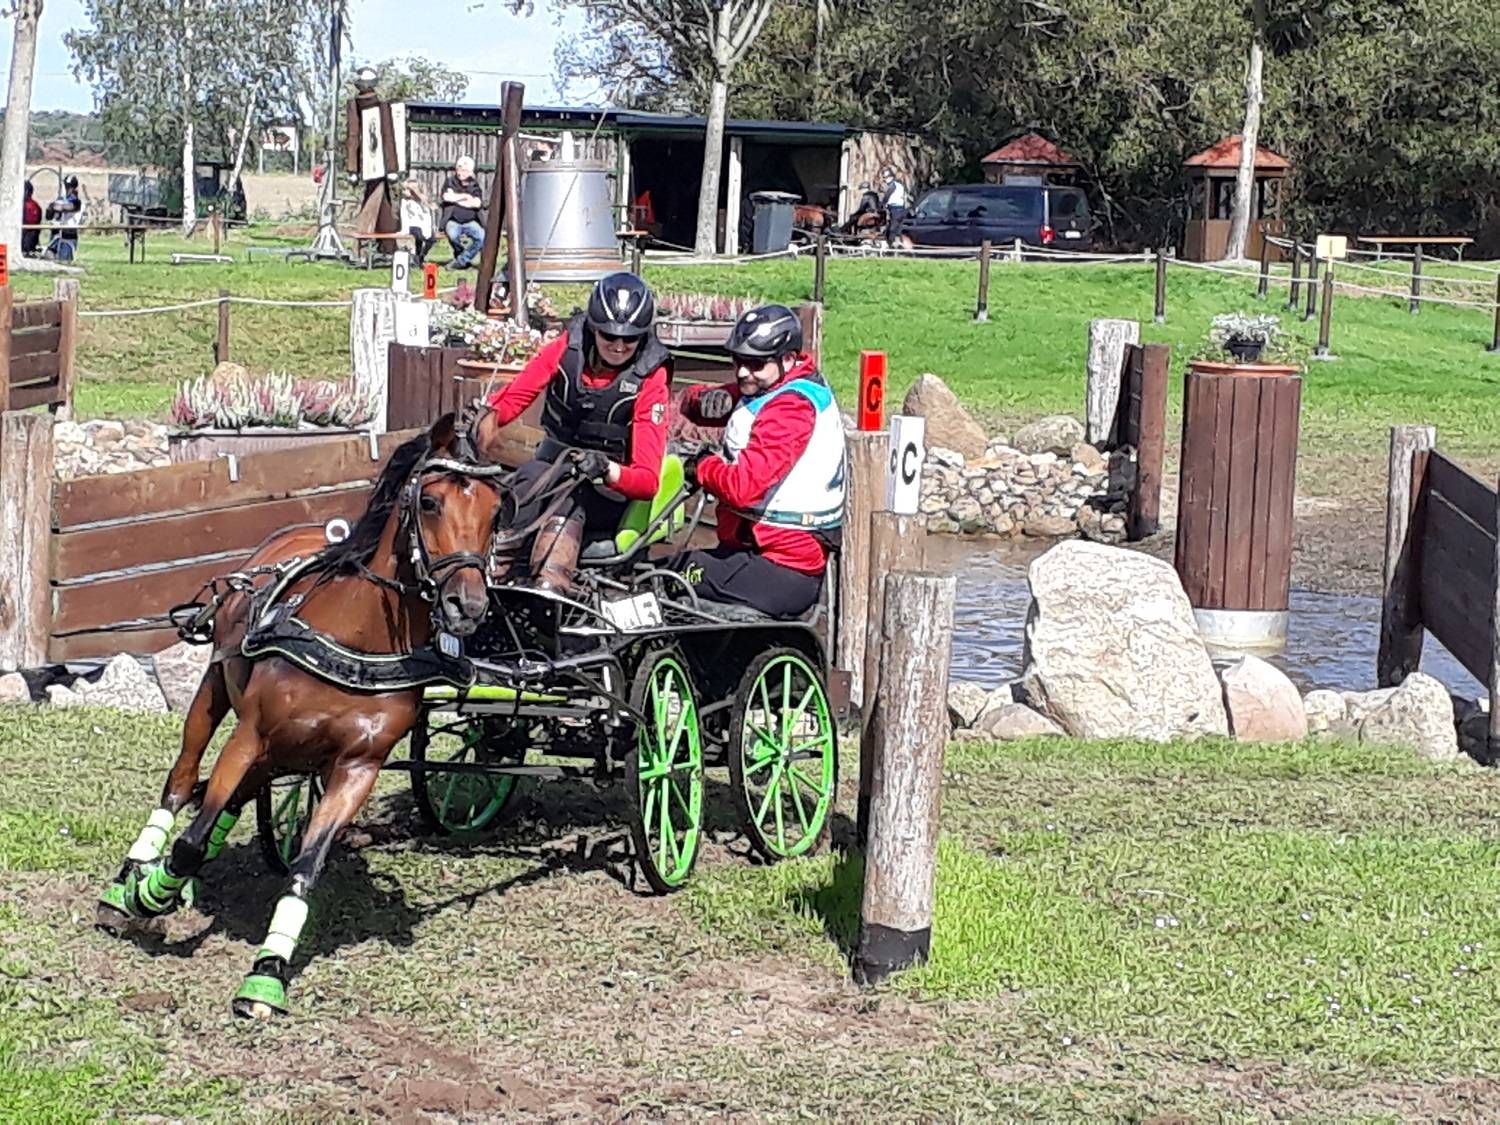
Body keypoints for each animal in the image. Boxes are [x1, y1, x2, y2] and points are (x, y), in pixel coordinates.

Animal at [95, 415, 507, 1019]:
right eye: (430, 502)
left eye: (497, 511)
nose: (468, 607)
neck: (355, 637)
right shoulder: (250, 735)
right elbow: (190, 839)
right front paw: (149, 895)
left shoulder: (356, 767)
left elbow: (304, 870)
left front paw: (266, 973)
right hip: (216, 696)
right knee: (182, 783)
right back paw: (131, 877)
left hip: (285, 753)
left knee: (230, 799)